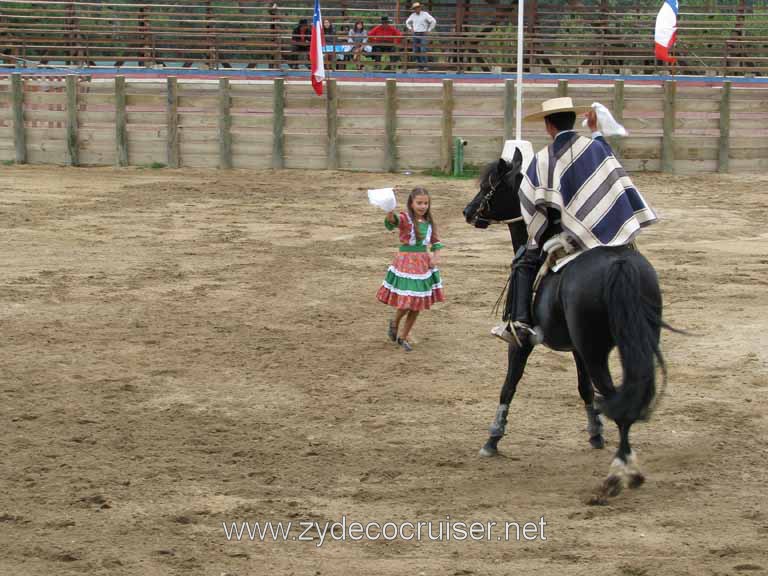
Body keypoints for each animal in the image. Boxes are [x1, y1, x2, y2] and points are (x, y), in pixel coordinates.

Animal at [462, 153, 664, 496]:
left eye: (490, 185)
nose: (468, 211)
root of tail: (620, 264)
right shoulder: (578, 350)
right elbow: (583, 389)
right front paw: (595, 432)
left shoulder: (521, 344)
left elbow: (508, 386)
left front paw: (493, 438)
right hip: (630, 346)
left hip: (597, 354)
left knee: (616, 398)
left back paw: (622, 472)